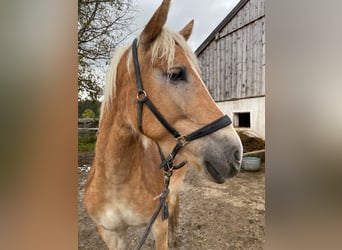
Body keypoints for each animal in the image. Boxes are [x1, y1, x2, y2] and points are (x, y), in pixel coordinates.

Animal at [84, 0, 242, 249]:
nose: (236, 153)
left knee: (174, 203)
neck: (116, 182)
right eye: (175, 73)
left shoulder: (158, 225)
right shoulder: (111, 235)